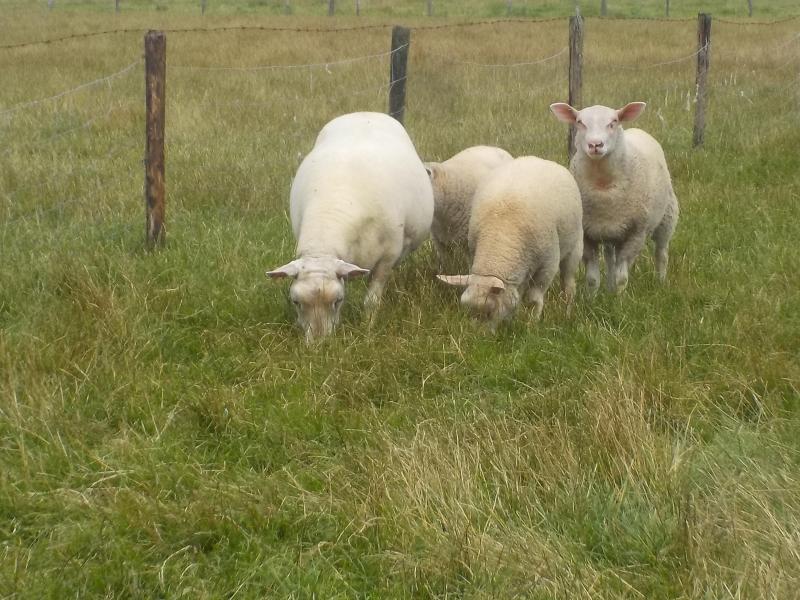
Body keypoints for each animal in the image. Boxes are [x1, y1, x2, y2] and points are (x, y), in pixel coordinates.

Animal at [266, 112, 434, 342]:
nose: (319, 344)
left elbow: (371, 301)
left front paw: (367, 328)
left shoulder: (387, 257)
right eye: (296, 302)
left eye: (337, 300)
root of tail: (365, 113)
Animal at [438, 154, 580, 324]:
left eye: (489, 312)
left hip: (575, 247)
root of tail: (534, 158)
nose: (477, 333)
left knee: (568, 283)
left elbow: (534, 297)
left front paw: (533, 322)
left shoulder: (547, 265)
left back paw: (568, 311)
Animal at [552, 102, 680, 294]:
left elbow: (622, 278)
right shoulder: (587, 234)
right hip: (610, 233)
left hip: (667, 216)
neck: (602, 185)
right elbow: (592, 278)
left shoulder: (635, 233)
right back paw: (609, 288)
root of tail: (636, 130)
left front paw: (619, 299)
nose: (595, 144)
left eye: (613, 122)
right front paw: (592, 297)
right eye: (580, 122)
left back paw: (660, 282)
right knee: (610, 258)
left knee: (662, 252)